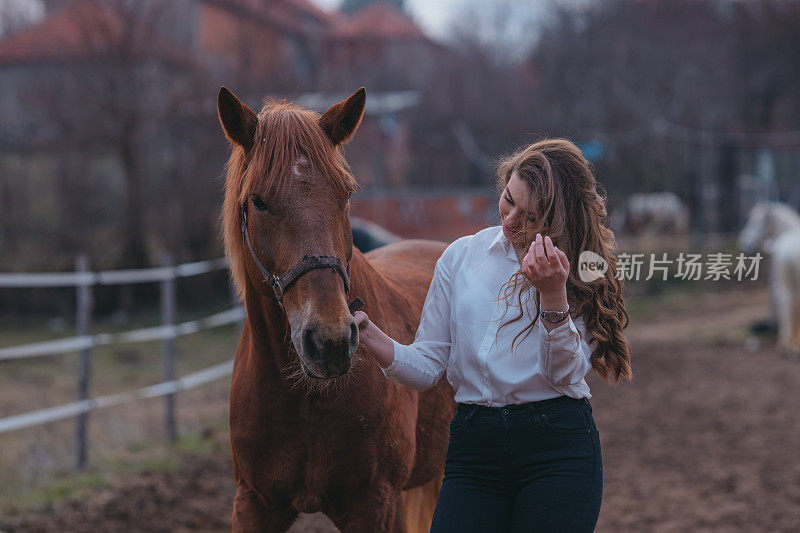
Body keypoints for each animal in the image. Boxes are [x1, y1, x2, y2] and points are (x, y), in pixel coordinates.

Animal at [219, 85, 456, 528]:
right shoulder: (255, 503)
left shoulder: (373, 502)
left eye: (345, 193)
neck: (304, 398)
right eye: (258, 200)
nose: (330, 340)